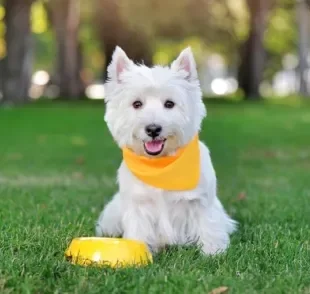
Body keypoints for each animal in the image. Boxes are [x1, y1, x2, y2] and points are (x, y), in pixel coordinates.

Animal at [95, 46, 236, 255]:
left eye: (169, 104)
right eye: (137, 104)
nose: (153, 129)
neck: (160, 165)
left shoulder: (201, 202)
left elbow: (207, 225)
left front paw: (212, 252)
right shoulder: (138, 205)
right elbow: (139, 231)